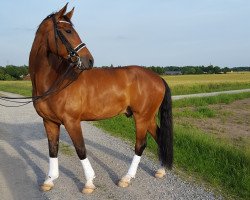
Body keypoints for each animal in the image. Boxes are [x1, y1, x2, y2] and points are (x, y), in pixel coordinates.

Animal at [28, 3, 173, 194]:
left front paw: (89, 182)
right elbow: (53, 149)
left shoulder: (72, 121)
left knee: (140, 145)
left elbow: (81, 149)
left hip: (141, 117)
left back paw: (126, 178)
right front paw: (49, 180)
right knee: (160, 137)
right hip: (147, 117)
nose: (89, 60)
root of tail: (158, 78)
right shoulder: (49, 122)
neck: (54, 80)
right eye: (67, 31)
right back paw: (161, 170)